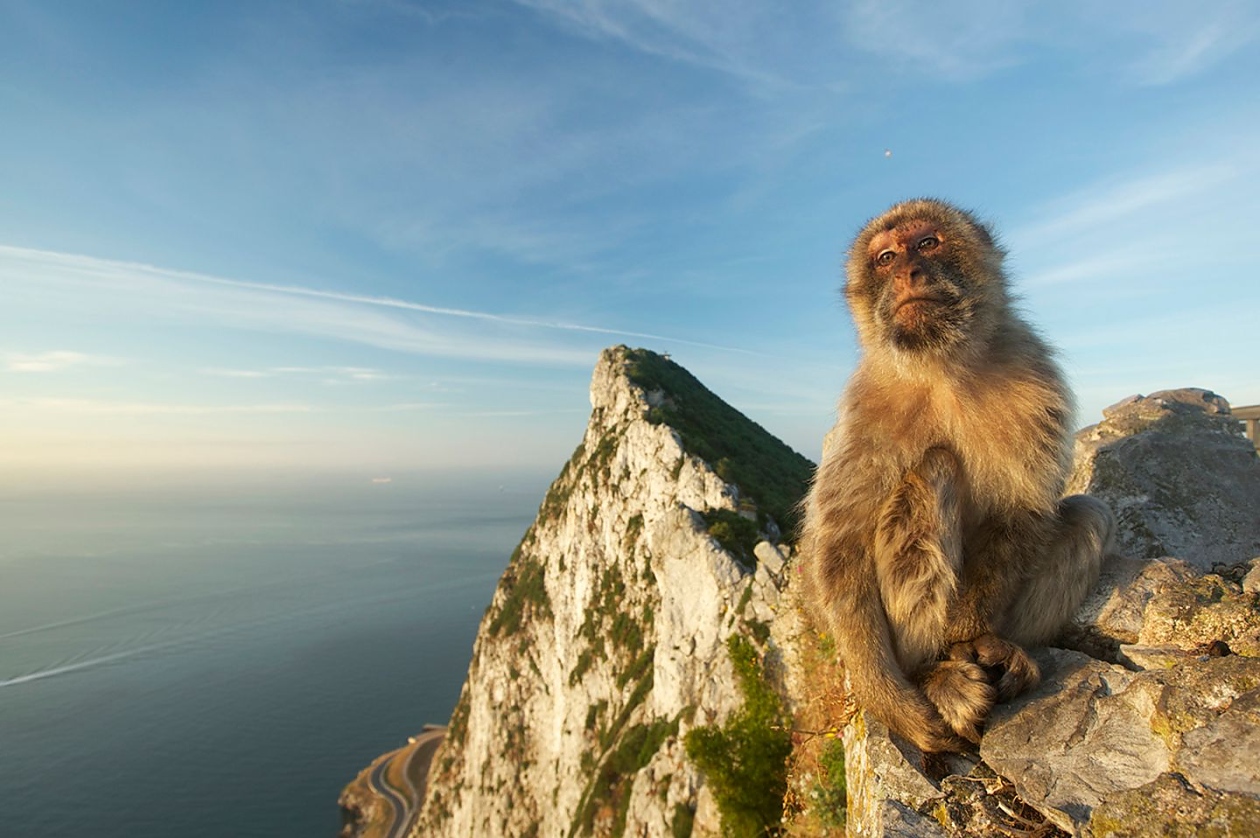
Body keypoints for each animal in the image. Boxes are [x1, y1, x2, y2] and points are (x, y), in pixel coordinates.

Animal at [806, 197, 1113, 751]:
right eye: (885, 258)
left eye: (927, 243)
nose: (907, 271)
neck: (941, 368)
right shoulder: (866, 411)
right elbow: (840, 547)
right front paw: (887, 698)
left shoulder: (1034, 380)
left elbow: (1023, 509)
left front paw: (969, 634)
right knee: (931, 471)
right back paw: (932, 672)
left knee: (1087, 516)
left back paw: (999, 648)